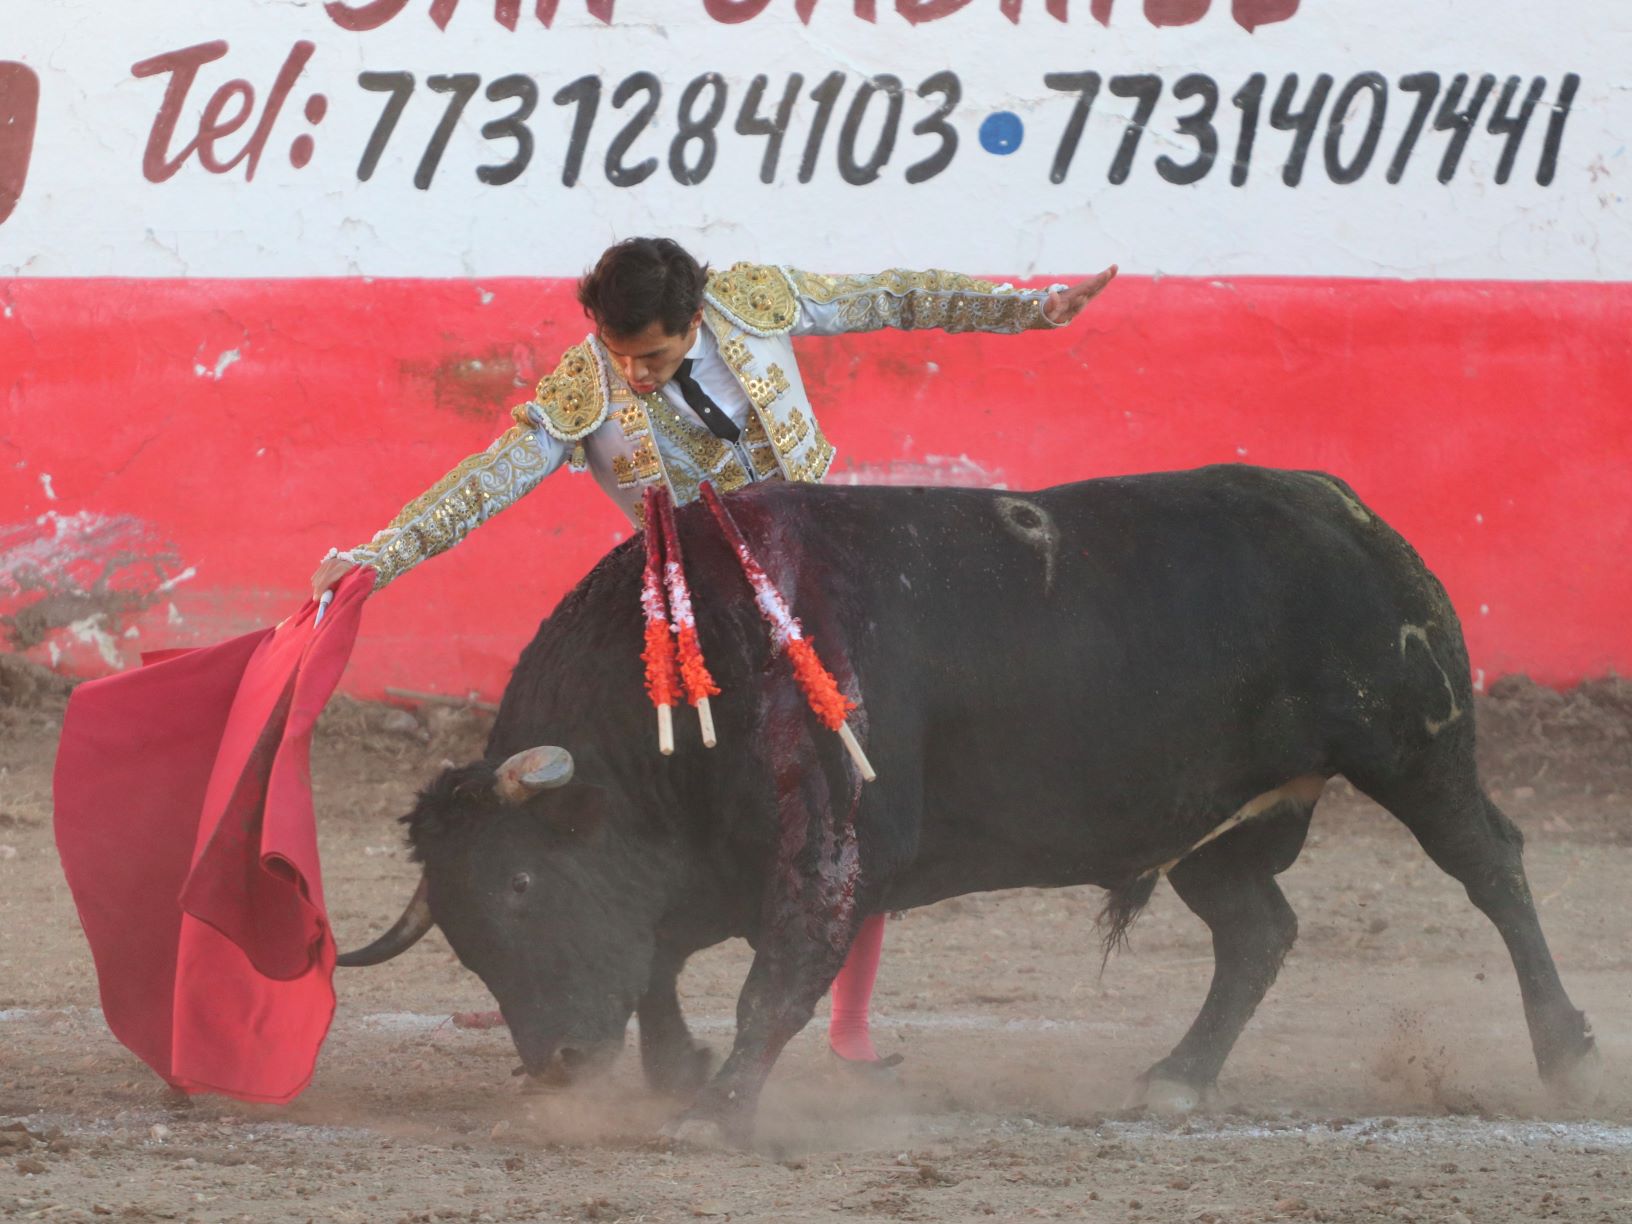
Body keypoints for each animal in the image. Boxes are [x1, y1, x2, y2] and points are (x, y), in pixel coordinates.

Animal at [339, 465, 1599, 1142]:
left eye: (519, 881)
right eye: (463, 942)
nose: (555, 1063)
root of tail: (1344, 506)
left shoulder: (825, 848)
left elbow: (771, 984)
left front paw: (715, 1110)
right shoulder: (698, 877)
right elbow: (657, 966)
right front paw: (681, 1074)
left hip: (1416, 748)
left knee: (1494, 867)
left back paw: (1565, 1050)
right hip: (1219, 822)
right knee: (1258, 931)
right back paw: (1177, 1079)